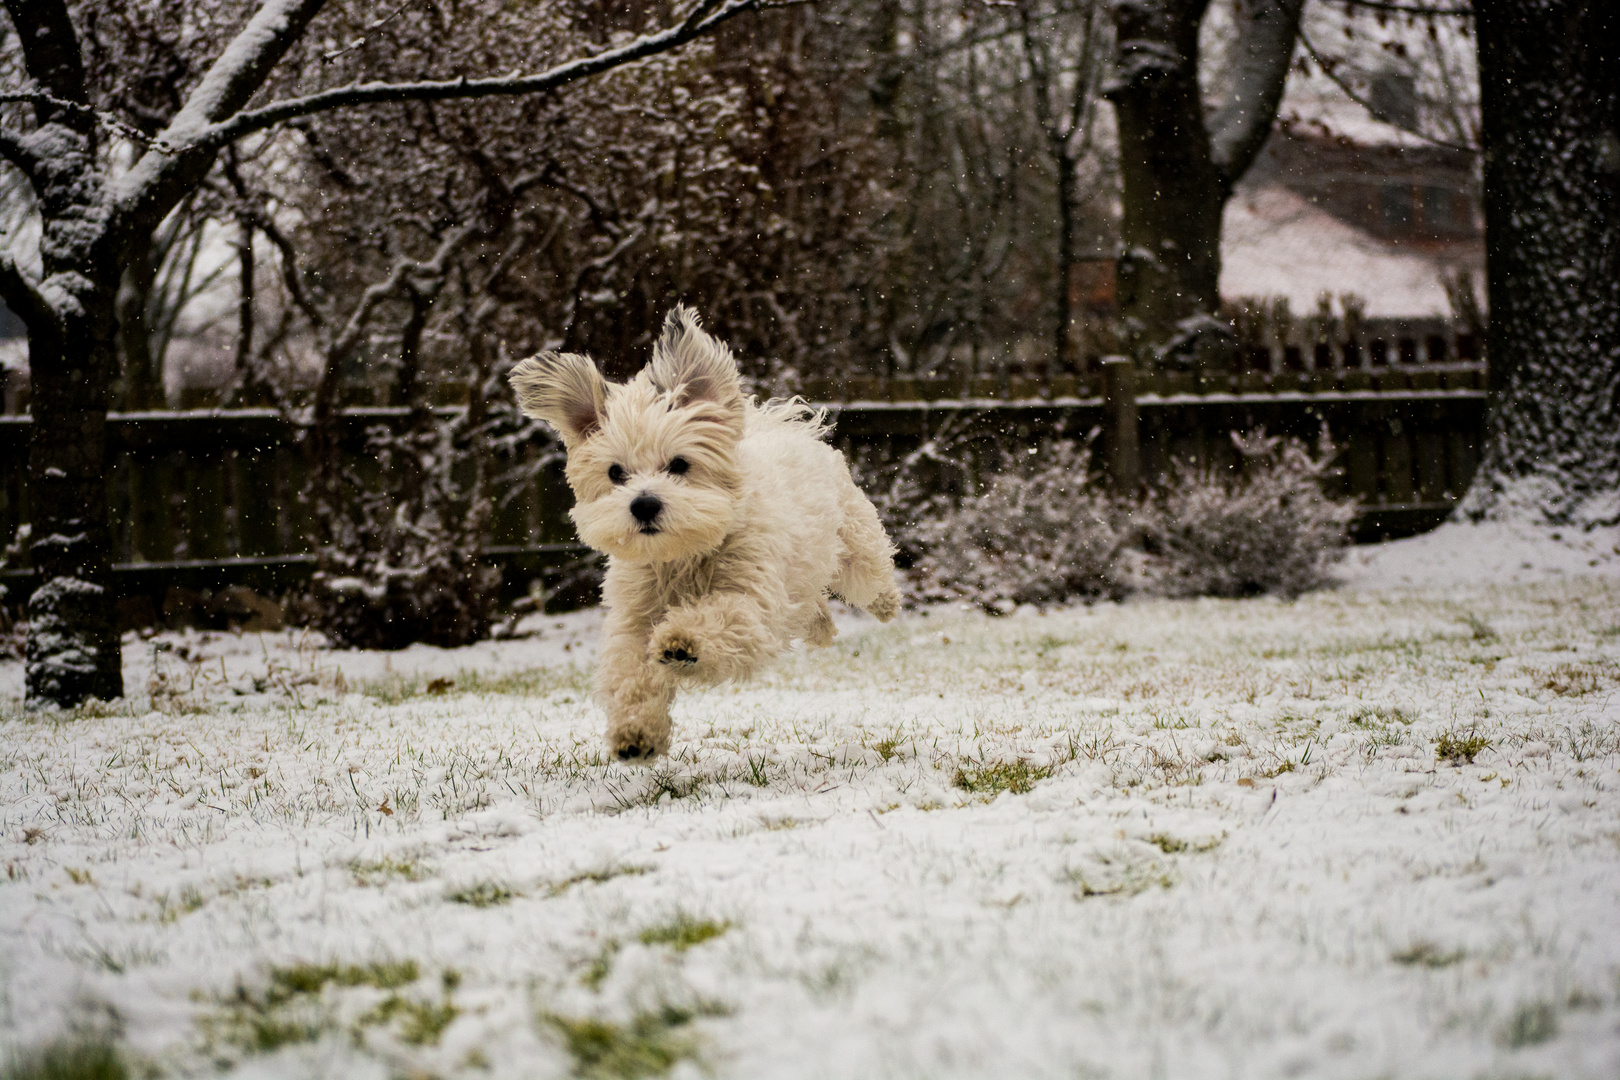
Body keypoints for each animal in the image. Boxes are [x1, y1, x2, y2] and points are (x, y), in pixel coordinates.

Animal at [511, 304, 907, 761]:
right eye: (615, 473)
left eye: (679, 464)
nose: (643, 504)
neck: (684, 553)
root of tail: (777, 423)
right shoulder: (633, 619)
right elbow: (630, 672)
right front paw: (636, 731)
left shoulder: (752, 602)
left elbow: (723, 614)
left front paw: (681, 639)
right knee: (811, 608)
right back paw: (820, 627)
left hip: (853, 543)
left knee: (869, 572)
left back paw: (885, 603)